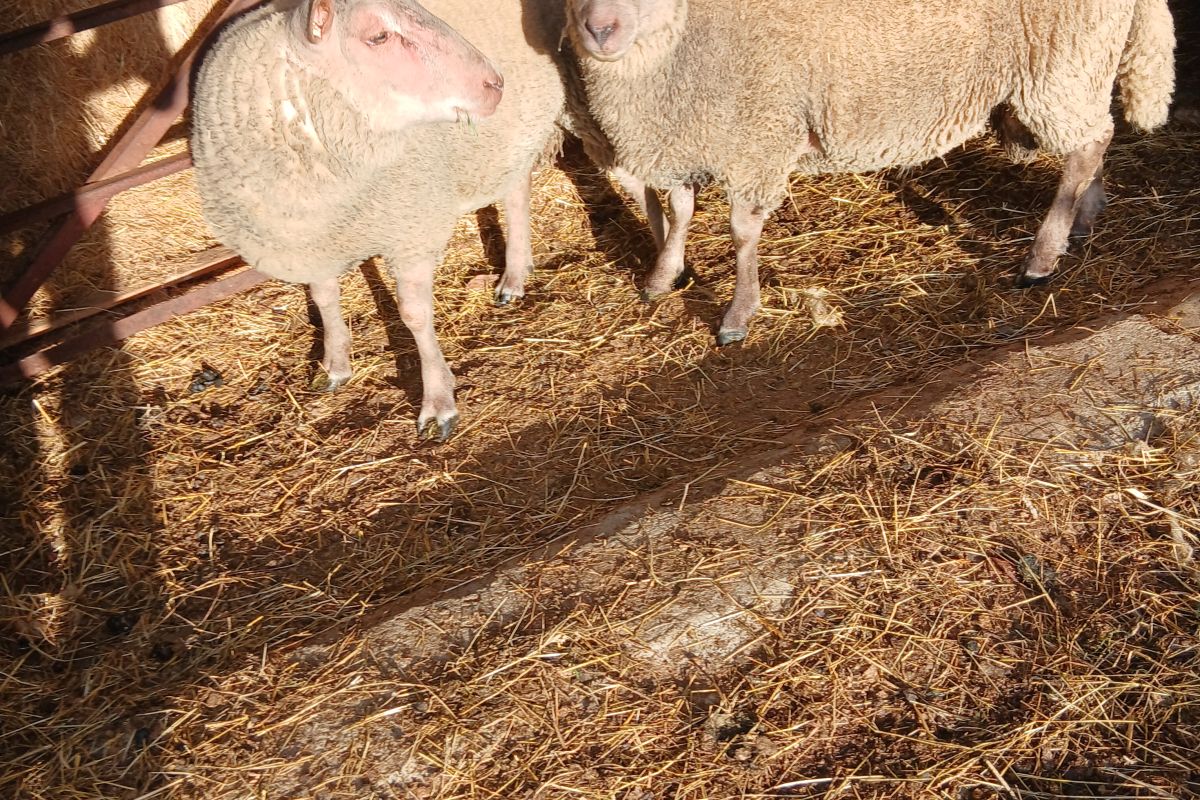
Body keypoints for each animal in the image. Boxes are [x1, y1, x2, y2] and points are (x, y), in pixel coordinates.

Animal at [192, 0, 567, 440]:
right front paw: (334, 365)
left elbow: (414, 315)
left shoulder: (411, 226)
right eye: (379, 37)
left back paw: (513, 276)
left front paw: (438, 401)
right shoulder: (313, 240)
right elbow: (324, 299)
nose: (495, 84)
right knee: (514, 185)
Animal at [564, 0, 1176, 345]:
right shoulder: (694, 130)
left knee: (1089, 142)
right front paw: (662, 276)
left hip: (1061, 64)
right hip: (1079, 66)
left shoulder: (760, 129)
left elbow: (741, 233)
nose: (599, 28)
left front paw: (738, 315)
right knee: (1094, 137)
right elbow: (680, 208)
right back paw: (1083, 218)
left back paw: (1042, 256)